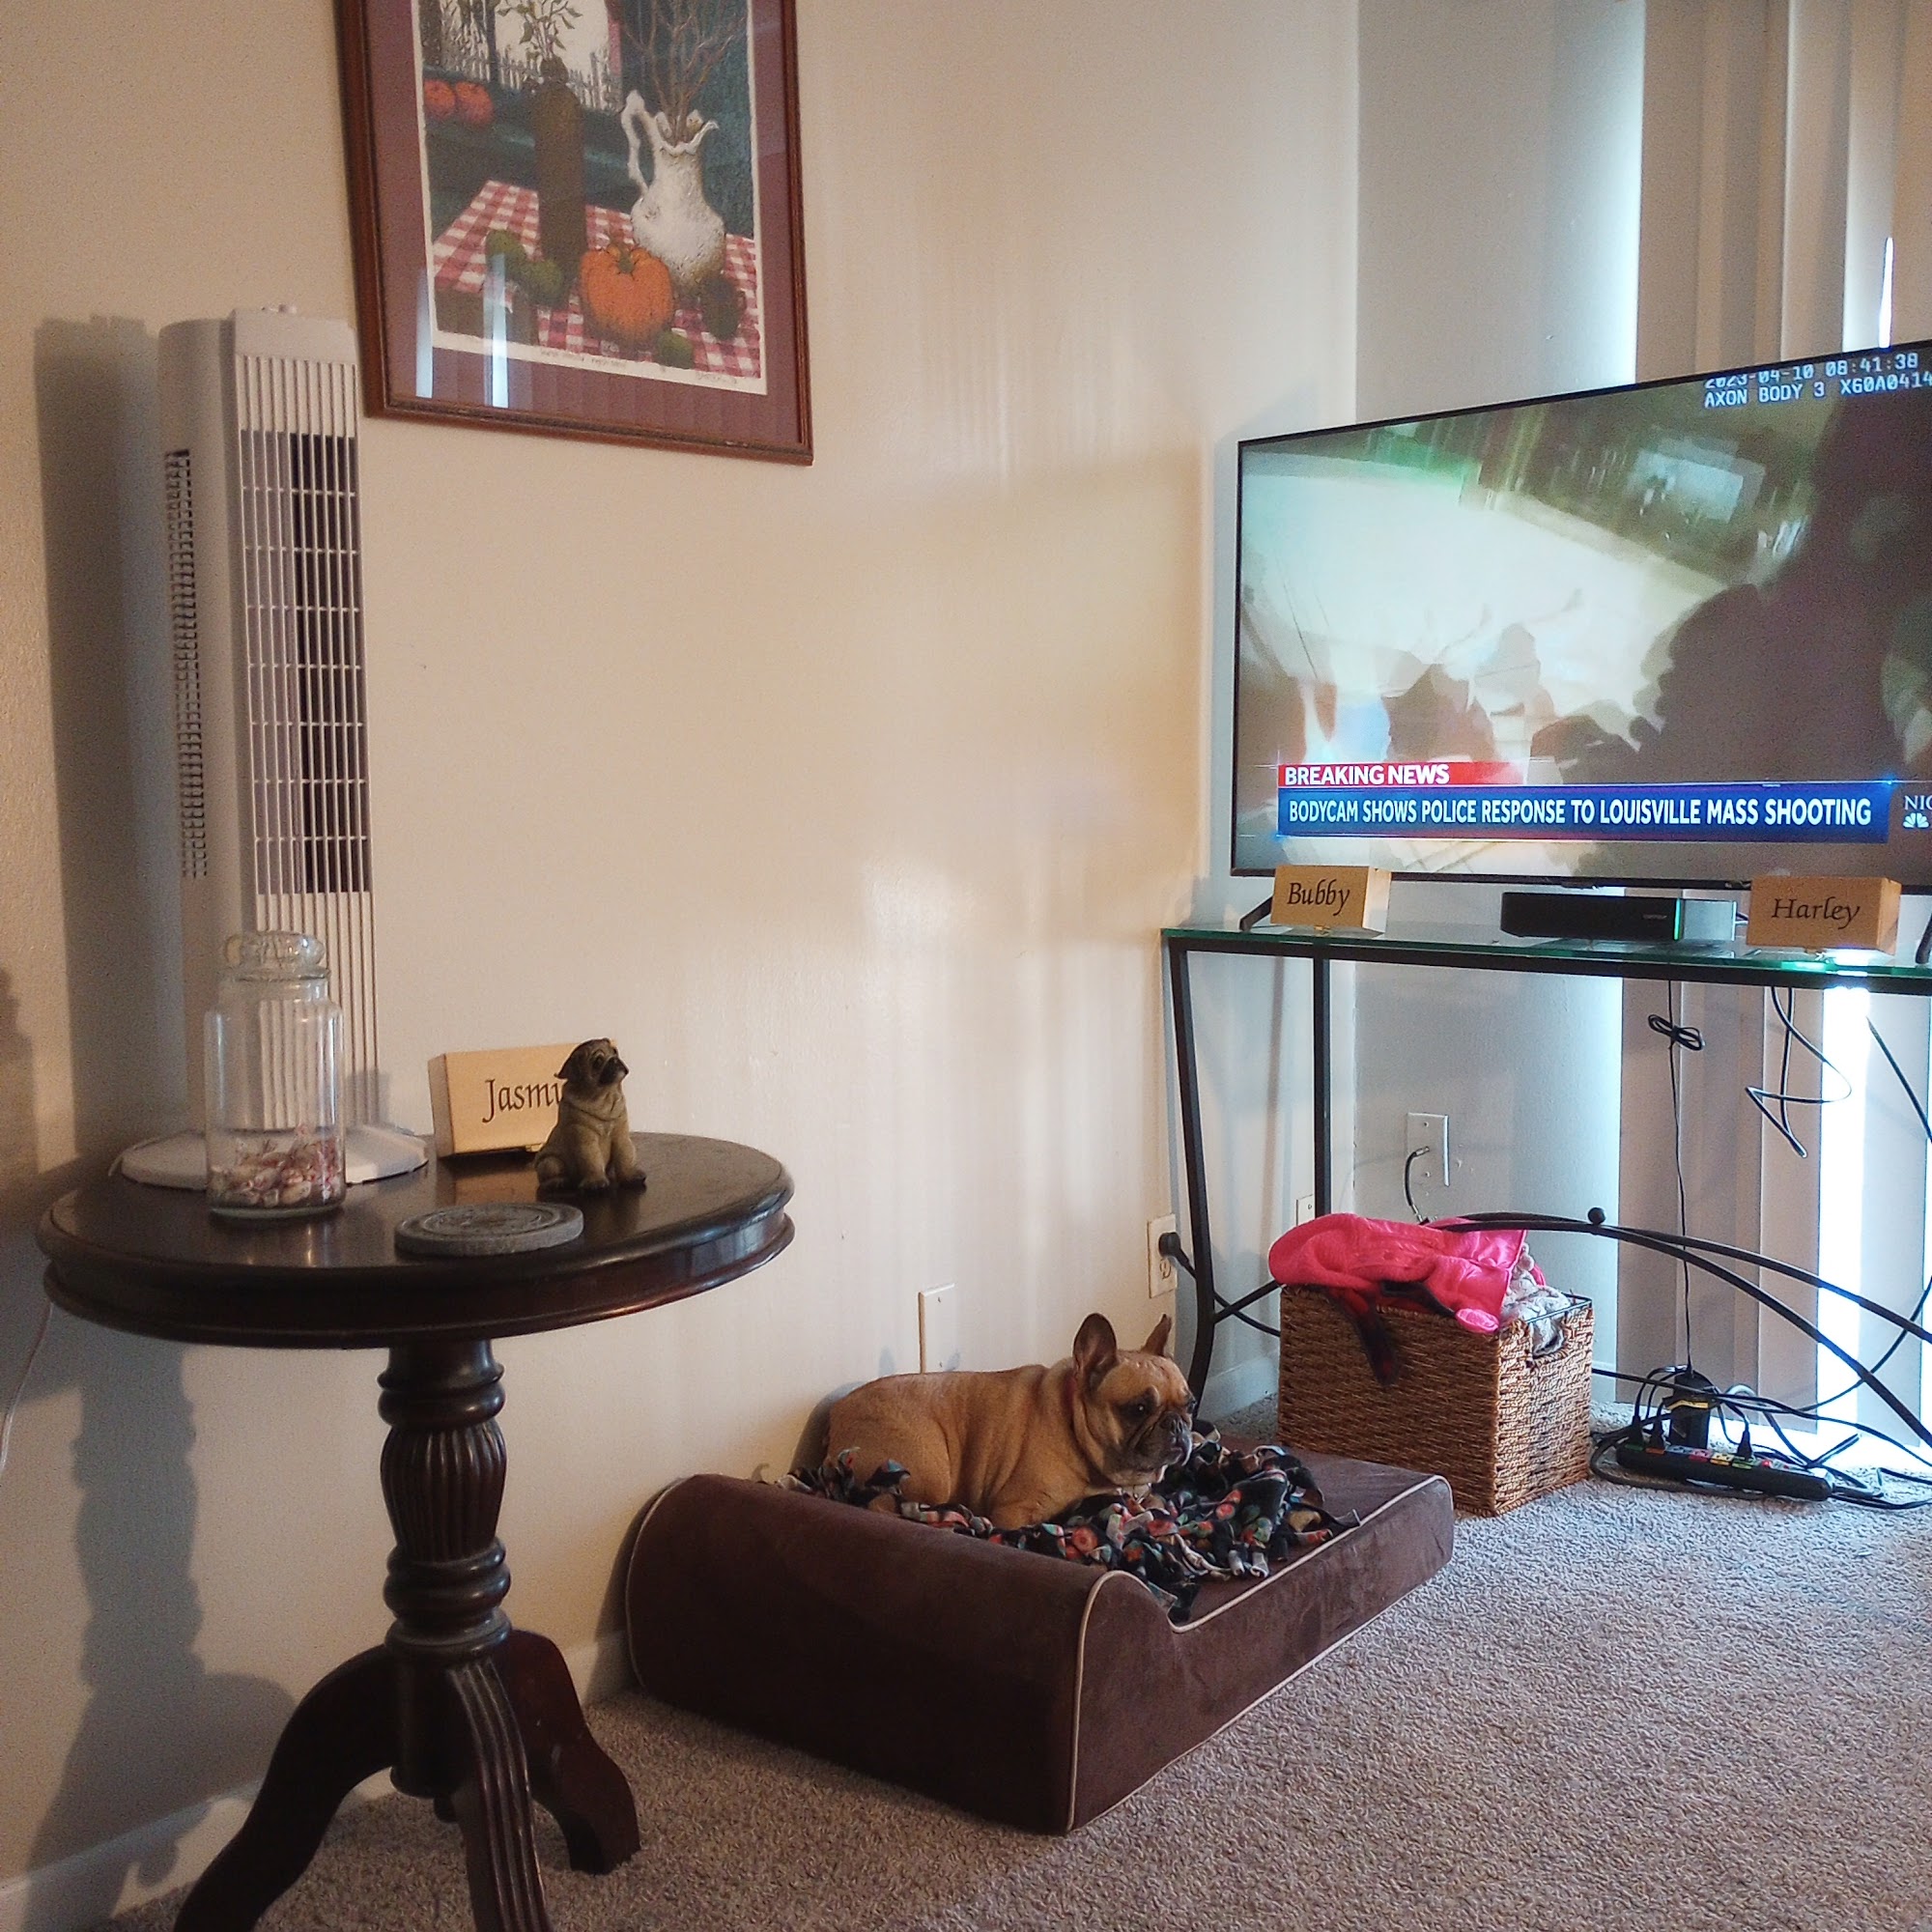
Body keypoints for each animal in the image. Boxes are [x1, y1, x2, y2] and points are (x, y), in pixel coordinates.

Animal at [533, 1039, 645, 1193]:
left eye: (615, 1052)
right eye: (598, 1061)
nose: (614, 1060)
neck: (605, 1099)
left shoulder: (621, 1136)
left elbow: (626, 1156)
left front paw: (630, 1175)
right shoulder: (585, 1139)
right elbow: (592, 1161)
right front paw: (596, 1181)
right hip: (550, 1163)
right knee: (550, 1174)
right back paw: (557, 1182)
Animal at [824, 1312, 1194, 1529]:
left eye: (1189, 1404)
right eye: (1139, 1409)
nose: (1177, 1424)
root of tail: (837, 1418)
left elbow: (1157, 1502)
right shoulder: (1013, 1512)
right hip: (930, 1472)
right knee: (883, 1506)